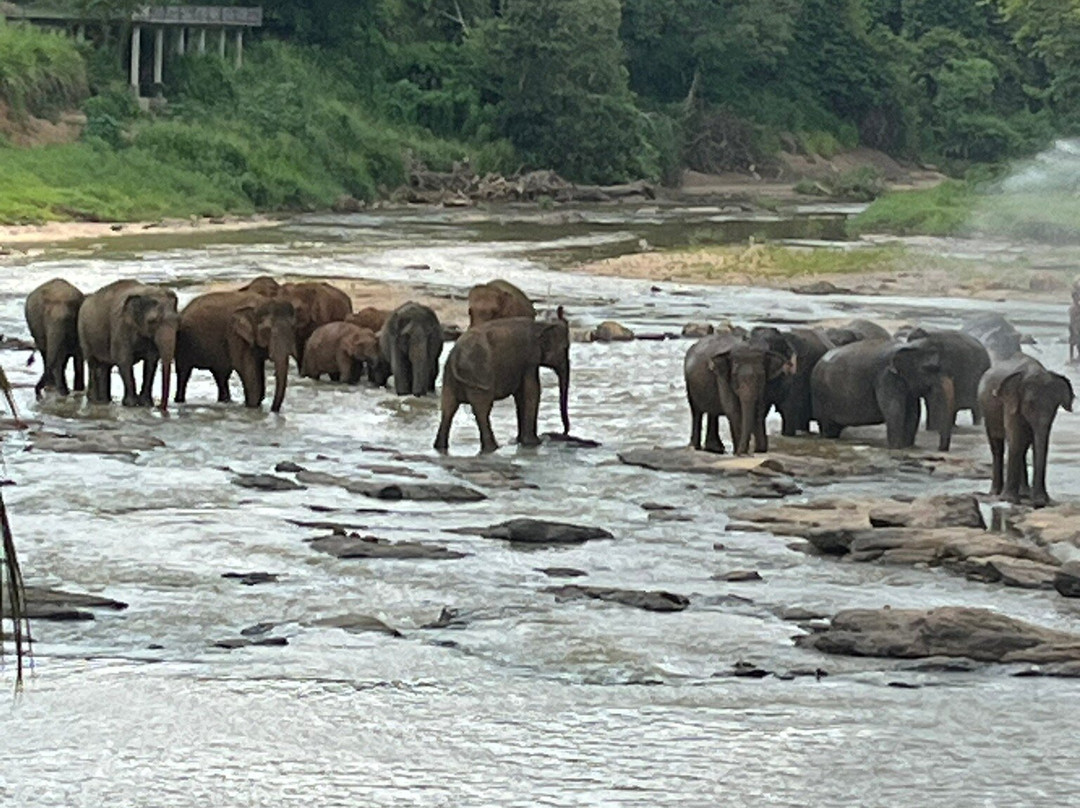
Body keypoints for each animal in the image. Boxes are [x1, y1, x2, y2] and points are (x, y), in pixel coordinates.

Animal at [77, 280, 178, 410]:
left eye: (178, 320)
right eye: (152, 321)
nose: (159, 406)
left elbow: (151, 361)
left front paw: (146, 404)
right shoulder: (120, 327)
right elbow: (124, 360)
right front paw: (131, 404)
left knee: (105, 366)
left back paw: (104, 400)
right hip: (84, 333)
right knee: (93, 363)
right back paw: (96, 400)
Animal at [435, 316, 570, 453]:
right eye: (565, 348)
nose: (563, 432)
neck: (541, 324)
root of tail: (455, 357)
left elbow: (521, 395)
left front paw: (519, 441)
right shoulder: (529, 359)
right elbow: (532, 392)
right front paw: (534, 443)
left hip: (450, 377)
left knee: (448, 408)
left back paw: (440, 447)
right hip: (478, 375)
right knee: (482, 409)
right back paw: (493, 448)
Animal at [811, 337, 955, 450]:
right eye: (930, 369)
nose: (940, 448)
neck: (908, 346)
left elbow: (913, 413)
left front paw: (907, 447)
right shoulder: (886, 378)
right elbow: (895, 411)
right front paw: (896, 447)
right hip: (822, 397)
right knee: (827, 426)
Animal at [979, 355, 1073, 508]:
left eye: (1055, 406)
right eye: (1030, 404)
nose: (1040, 503)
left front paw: (1040, 499)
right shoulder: (1010, 402)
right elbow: (1016, 438)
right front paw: (1009, 500)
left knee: (1023, 447)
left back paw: (1024, 493)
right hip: (986, 411)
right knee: (997, 446)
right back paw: (995, 493)